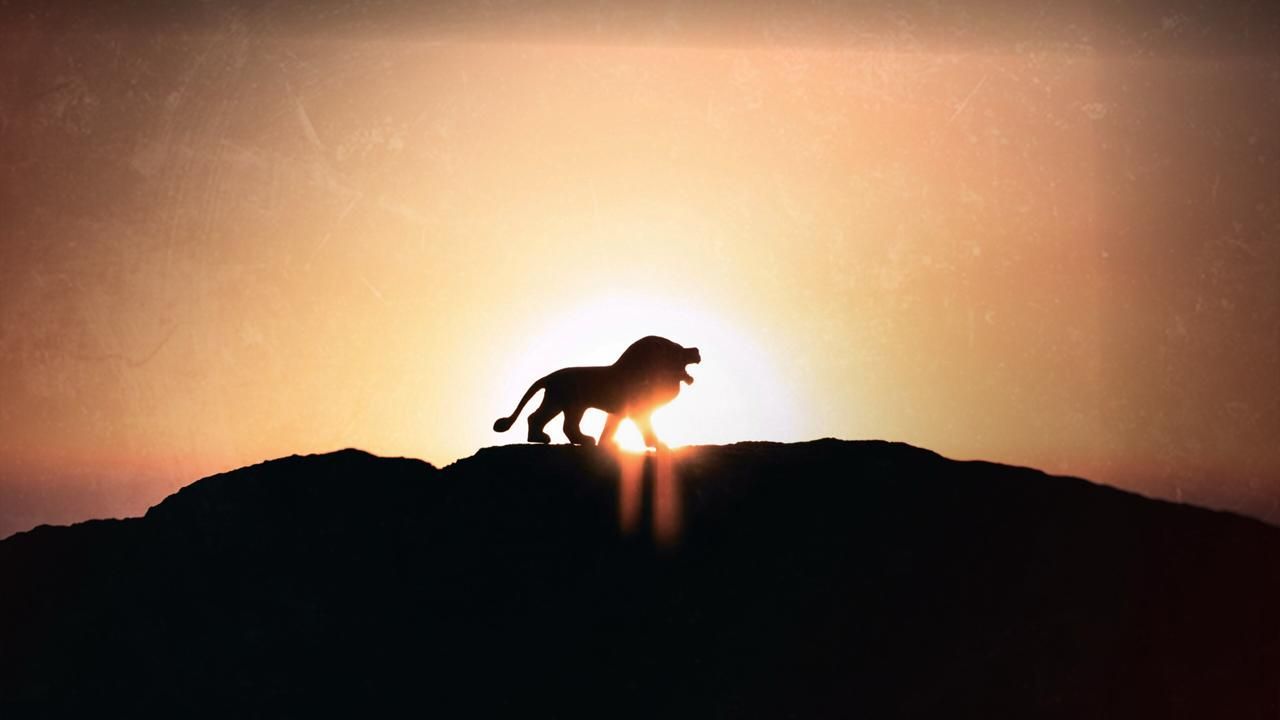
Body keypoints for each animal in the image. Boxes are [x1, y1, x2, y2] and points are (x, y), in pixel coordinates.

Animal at [492, 335, 700, 449]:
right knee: (553, 422)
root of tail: (548, 376)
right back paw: (555, 439)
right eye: (678, 349)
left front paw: (607, 444)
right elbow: (646, 428)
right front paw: (657, 444)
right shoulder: (637, 411)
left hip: (562, 403)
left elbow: (610, 427)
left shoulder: (619, 413)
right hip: (567, 403)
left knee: (552, 422)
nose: (697, 350)